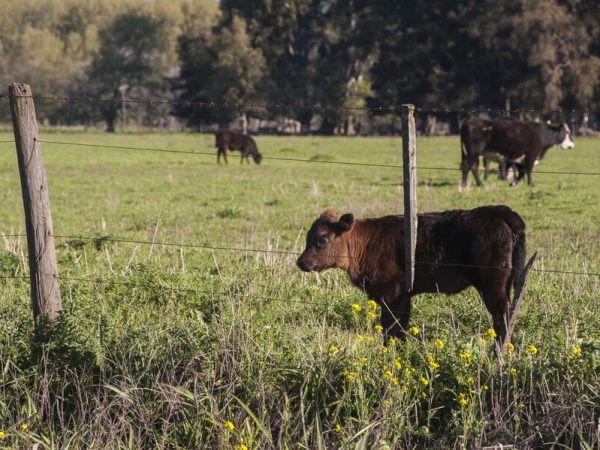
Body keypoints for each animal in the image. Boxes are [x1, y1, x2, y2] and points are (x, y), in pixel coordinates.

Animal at [298, 206, 528, 346]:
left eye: (322, 239)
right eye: (308, 237)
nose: (300, 262)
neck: (366, 243)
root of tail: (500, 212)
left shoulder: (392, 295)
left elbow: (391, 328)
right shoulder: (403, 297)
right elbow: (400, 329)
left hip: (493, 288)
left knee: (503, 316)